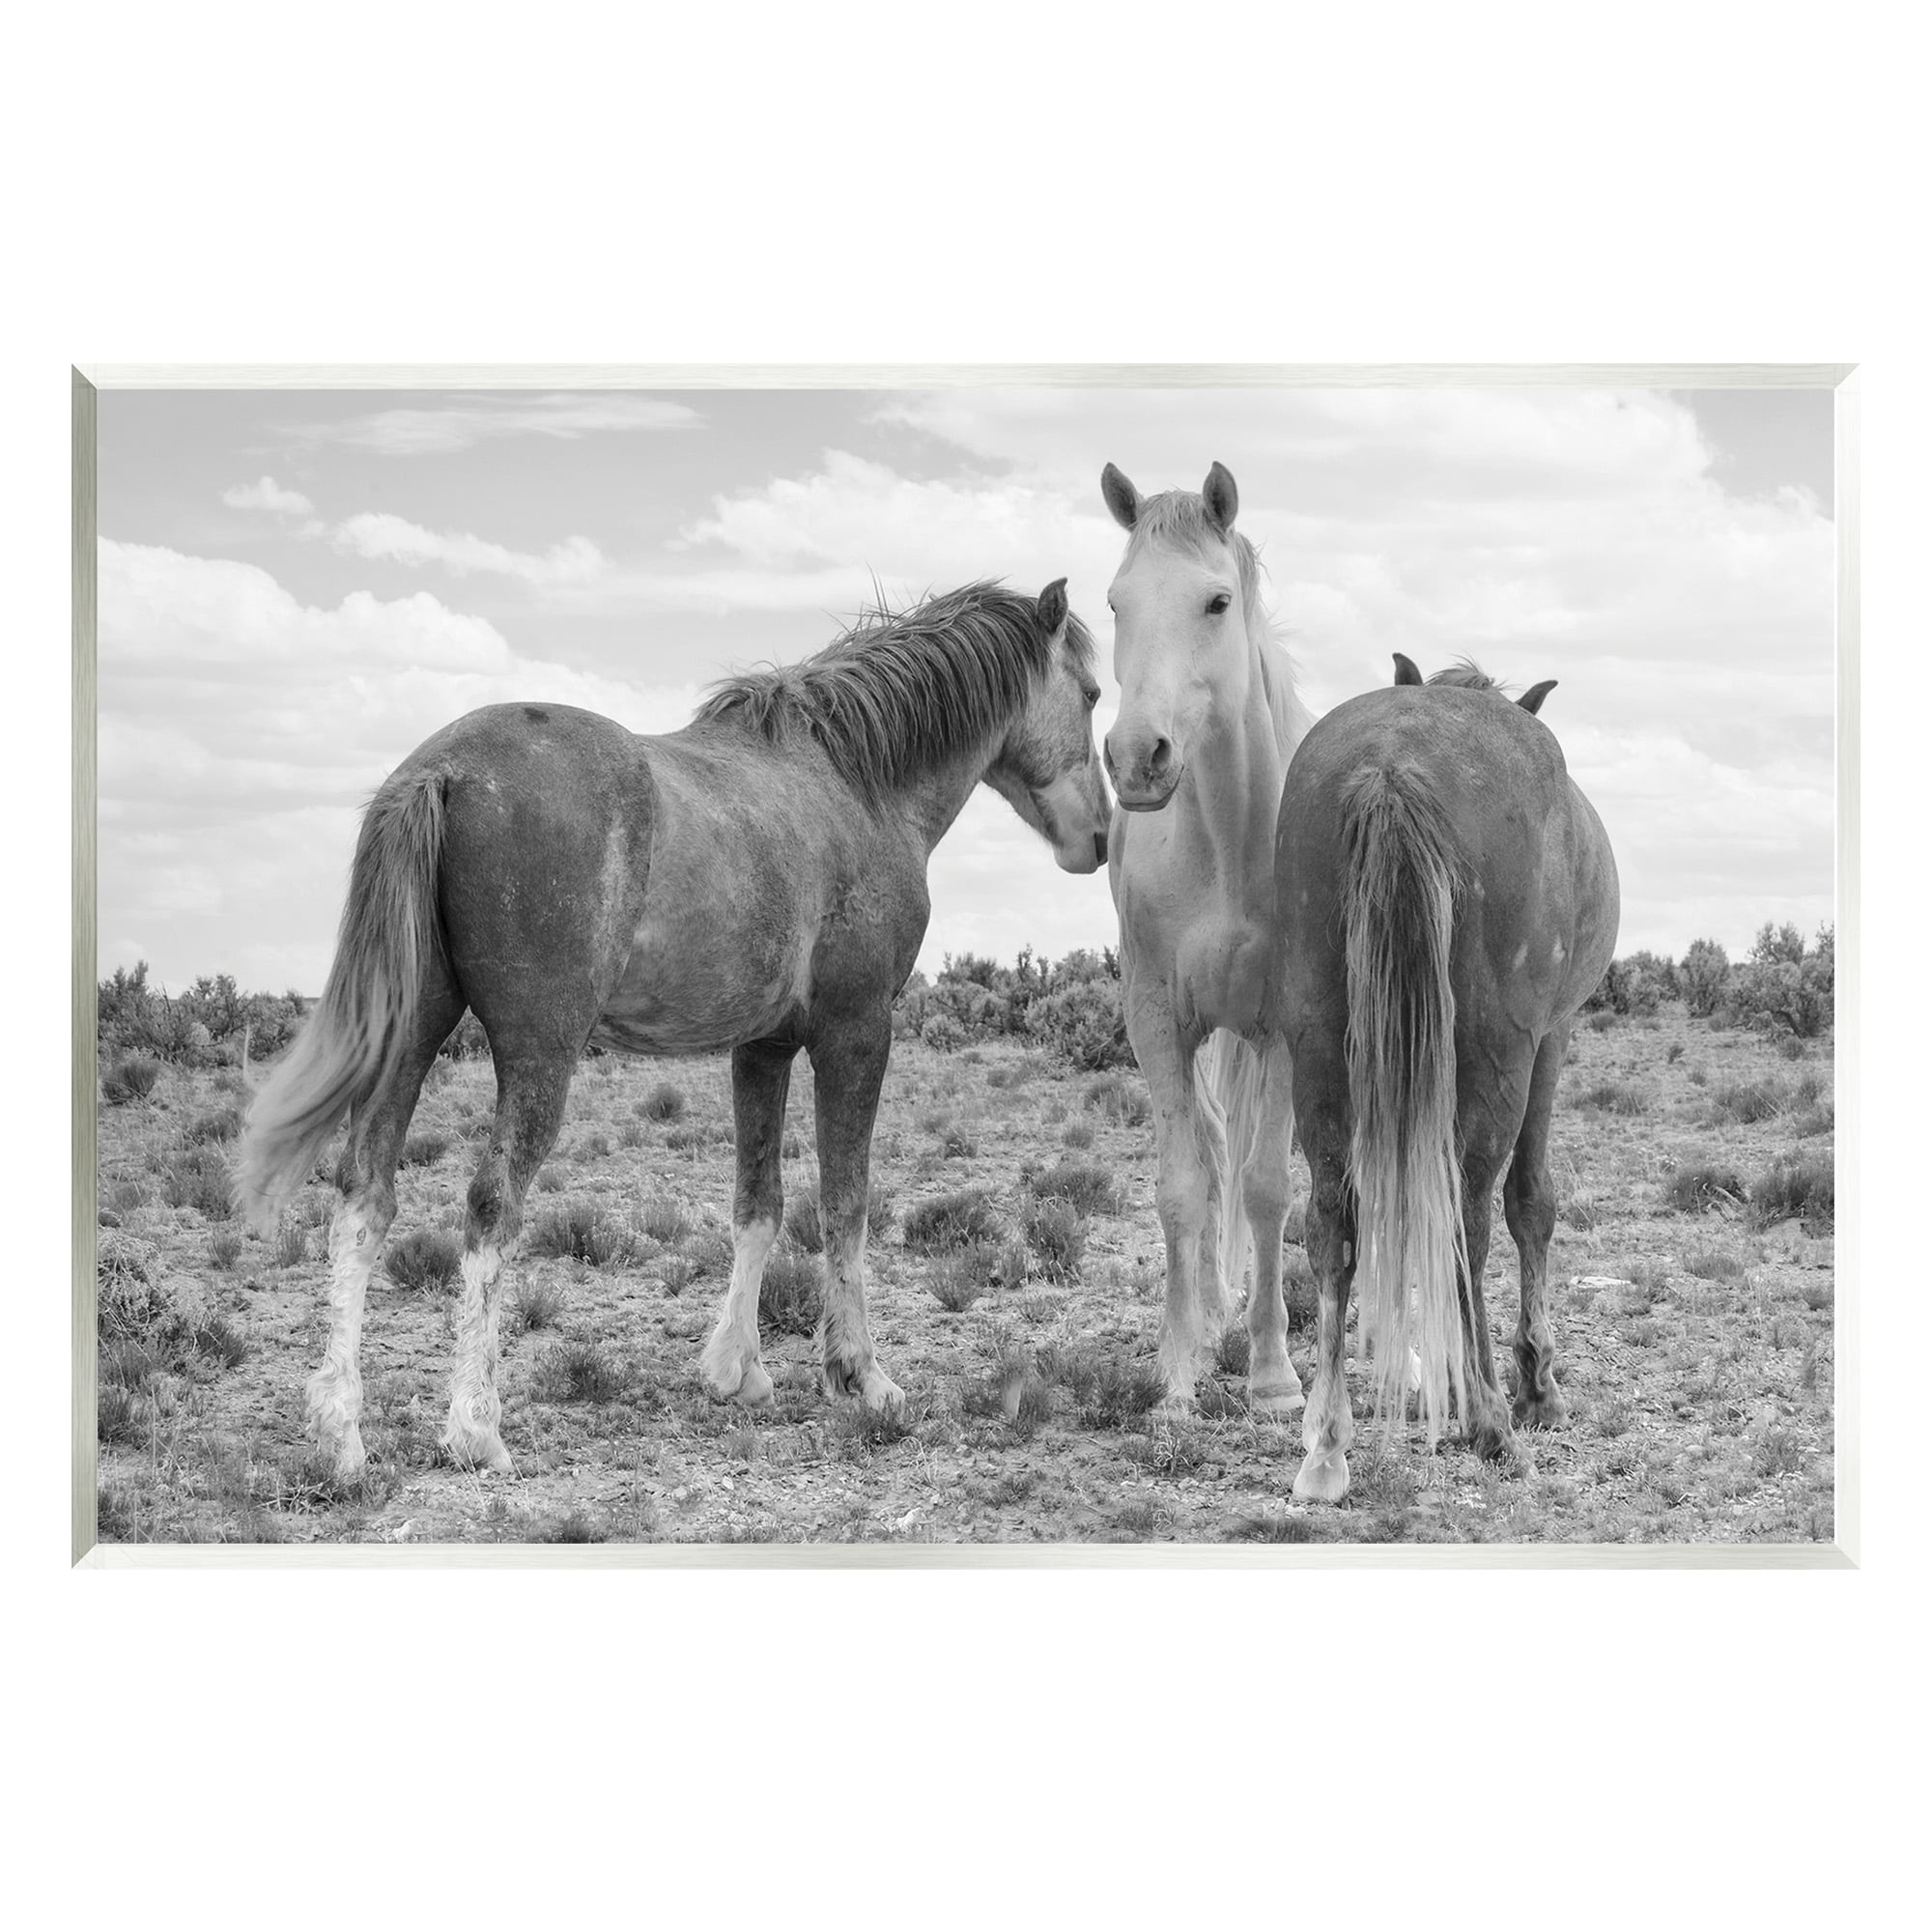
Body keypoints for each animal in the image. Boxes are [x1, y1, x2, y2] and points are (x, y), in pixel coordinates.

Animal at [234, 578, 1110, 1481]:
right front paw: (861, 1376)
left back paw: (341, 1431)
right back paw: (475, 1426)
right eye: (1091, 693)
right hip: (540, 1055)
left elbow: (758, 1203)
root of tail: (440, 770)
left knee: (365, 1195)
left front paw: (736, 1370)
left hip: (412, 1037)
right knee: (489, 1205)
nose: (1100, 838)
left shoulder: (763, 1047)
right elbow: (846, 1203)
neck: (856, 784)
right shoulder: (858, 1031)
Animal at [1273, 657, 1619, 1502]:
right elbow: (1532, 1202)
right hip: (1500, 1053)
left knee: (1332, 1220)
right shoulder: (1552, 1037)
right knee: (1470, 1217)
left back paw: (1326, 1445)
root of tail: (1394, 766)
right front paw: (1538, 1387)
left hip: (1318, 1044)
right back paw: (1491, 1419)